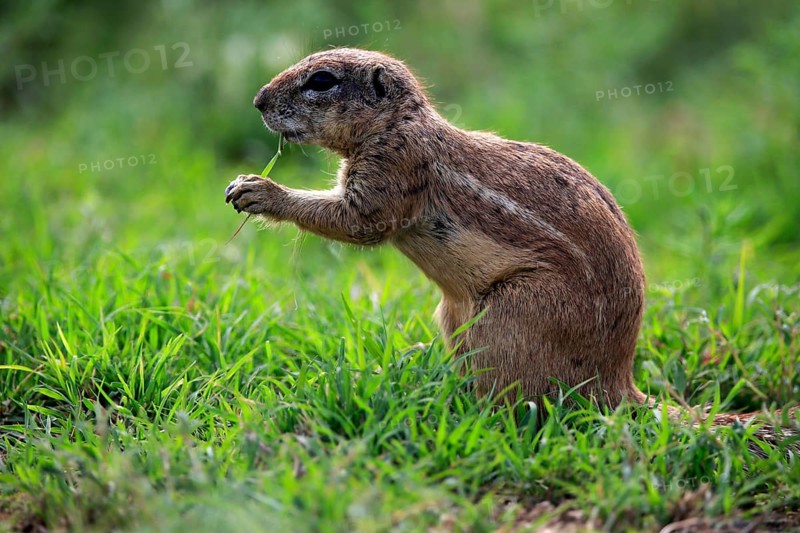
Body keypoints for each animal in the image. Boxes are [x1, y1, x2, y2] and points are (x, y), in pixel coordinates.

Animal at [225, 48, 797, 448]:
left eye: (322, 80)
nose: (256, 101)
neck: (399, 124)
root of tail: (617, 381)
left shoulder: (392, 173)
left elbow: (357, 223)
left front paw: (257, 190)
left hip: (507, 318)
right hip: (453, 317)